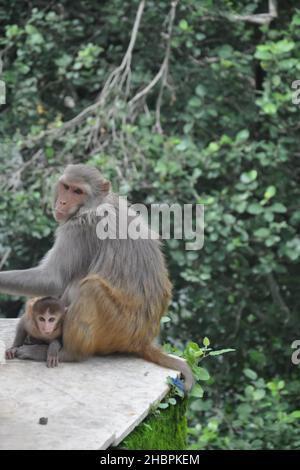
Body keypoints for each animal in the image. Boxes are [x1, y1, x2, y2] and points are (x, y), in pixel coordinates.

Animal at [0, 163, 195, 392]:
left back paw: (64, 353)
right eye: (66, 187)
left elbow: (53, 279)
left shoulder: (79, 227)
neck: (96, 203)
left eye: (78, 191)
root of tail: (142, 339)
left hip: (118, 328)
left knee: (90, 288)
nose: (63, 202)